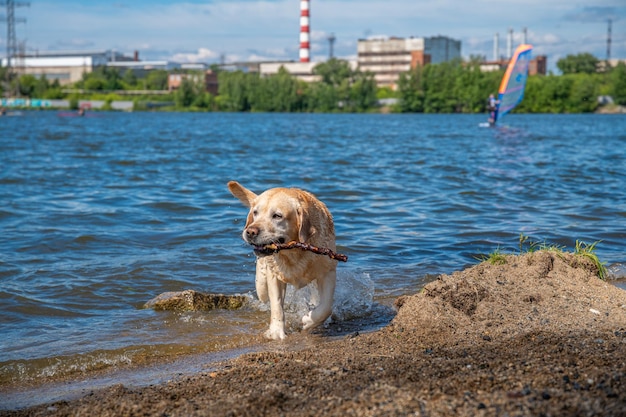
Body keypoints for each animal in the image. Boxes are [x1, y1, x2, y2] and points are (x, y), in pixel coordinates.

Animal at [228, 180, 336, 340]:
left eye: (277, 216)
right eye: (255, 212)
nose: (250, 232)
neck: (294, 251)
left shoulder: (328, 271)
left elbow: (326, 307)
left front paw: (308, 321)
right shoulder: (275, 276)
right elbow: (277, 306)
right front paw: (276, 332)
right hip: (261, 284)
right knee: (263, 292)